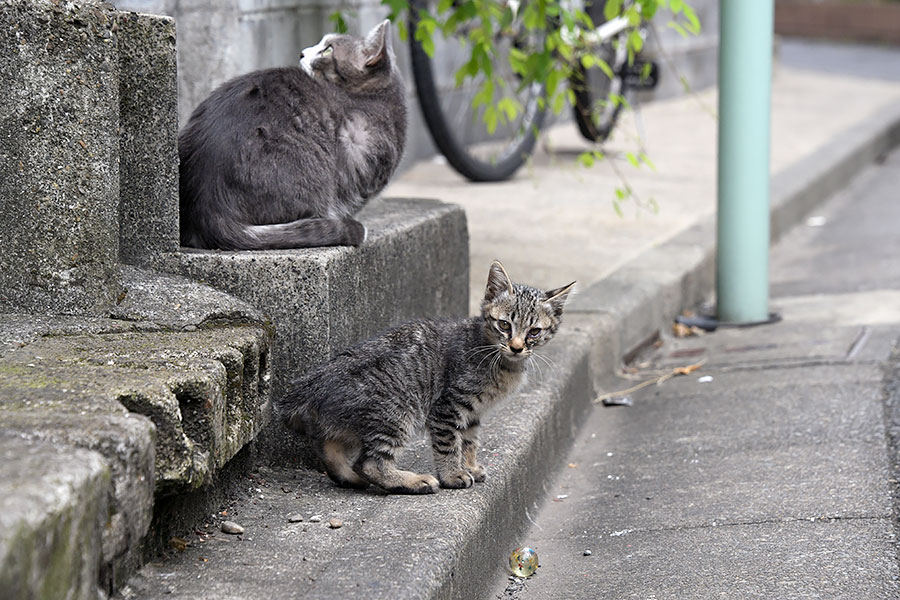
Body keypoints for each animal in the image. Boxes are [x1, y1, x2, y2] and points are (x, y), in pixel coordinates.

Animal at [274, 260, 576, 494]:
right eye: (504, 325)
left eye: (534, 332)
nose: (516, 347)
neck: (499, 360)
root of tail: (316, 379)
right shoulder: (447, 406)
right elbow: (449, 443)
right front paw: (453, 474)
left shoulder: (472, 412)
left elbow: (469, 440)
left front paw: (470, 465)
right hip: (395, 413)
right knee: (370, 463)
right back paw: (413, 481)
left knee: (329, 447)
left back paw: (350, 478)